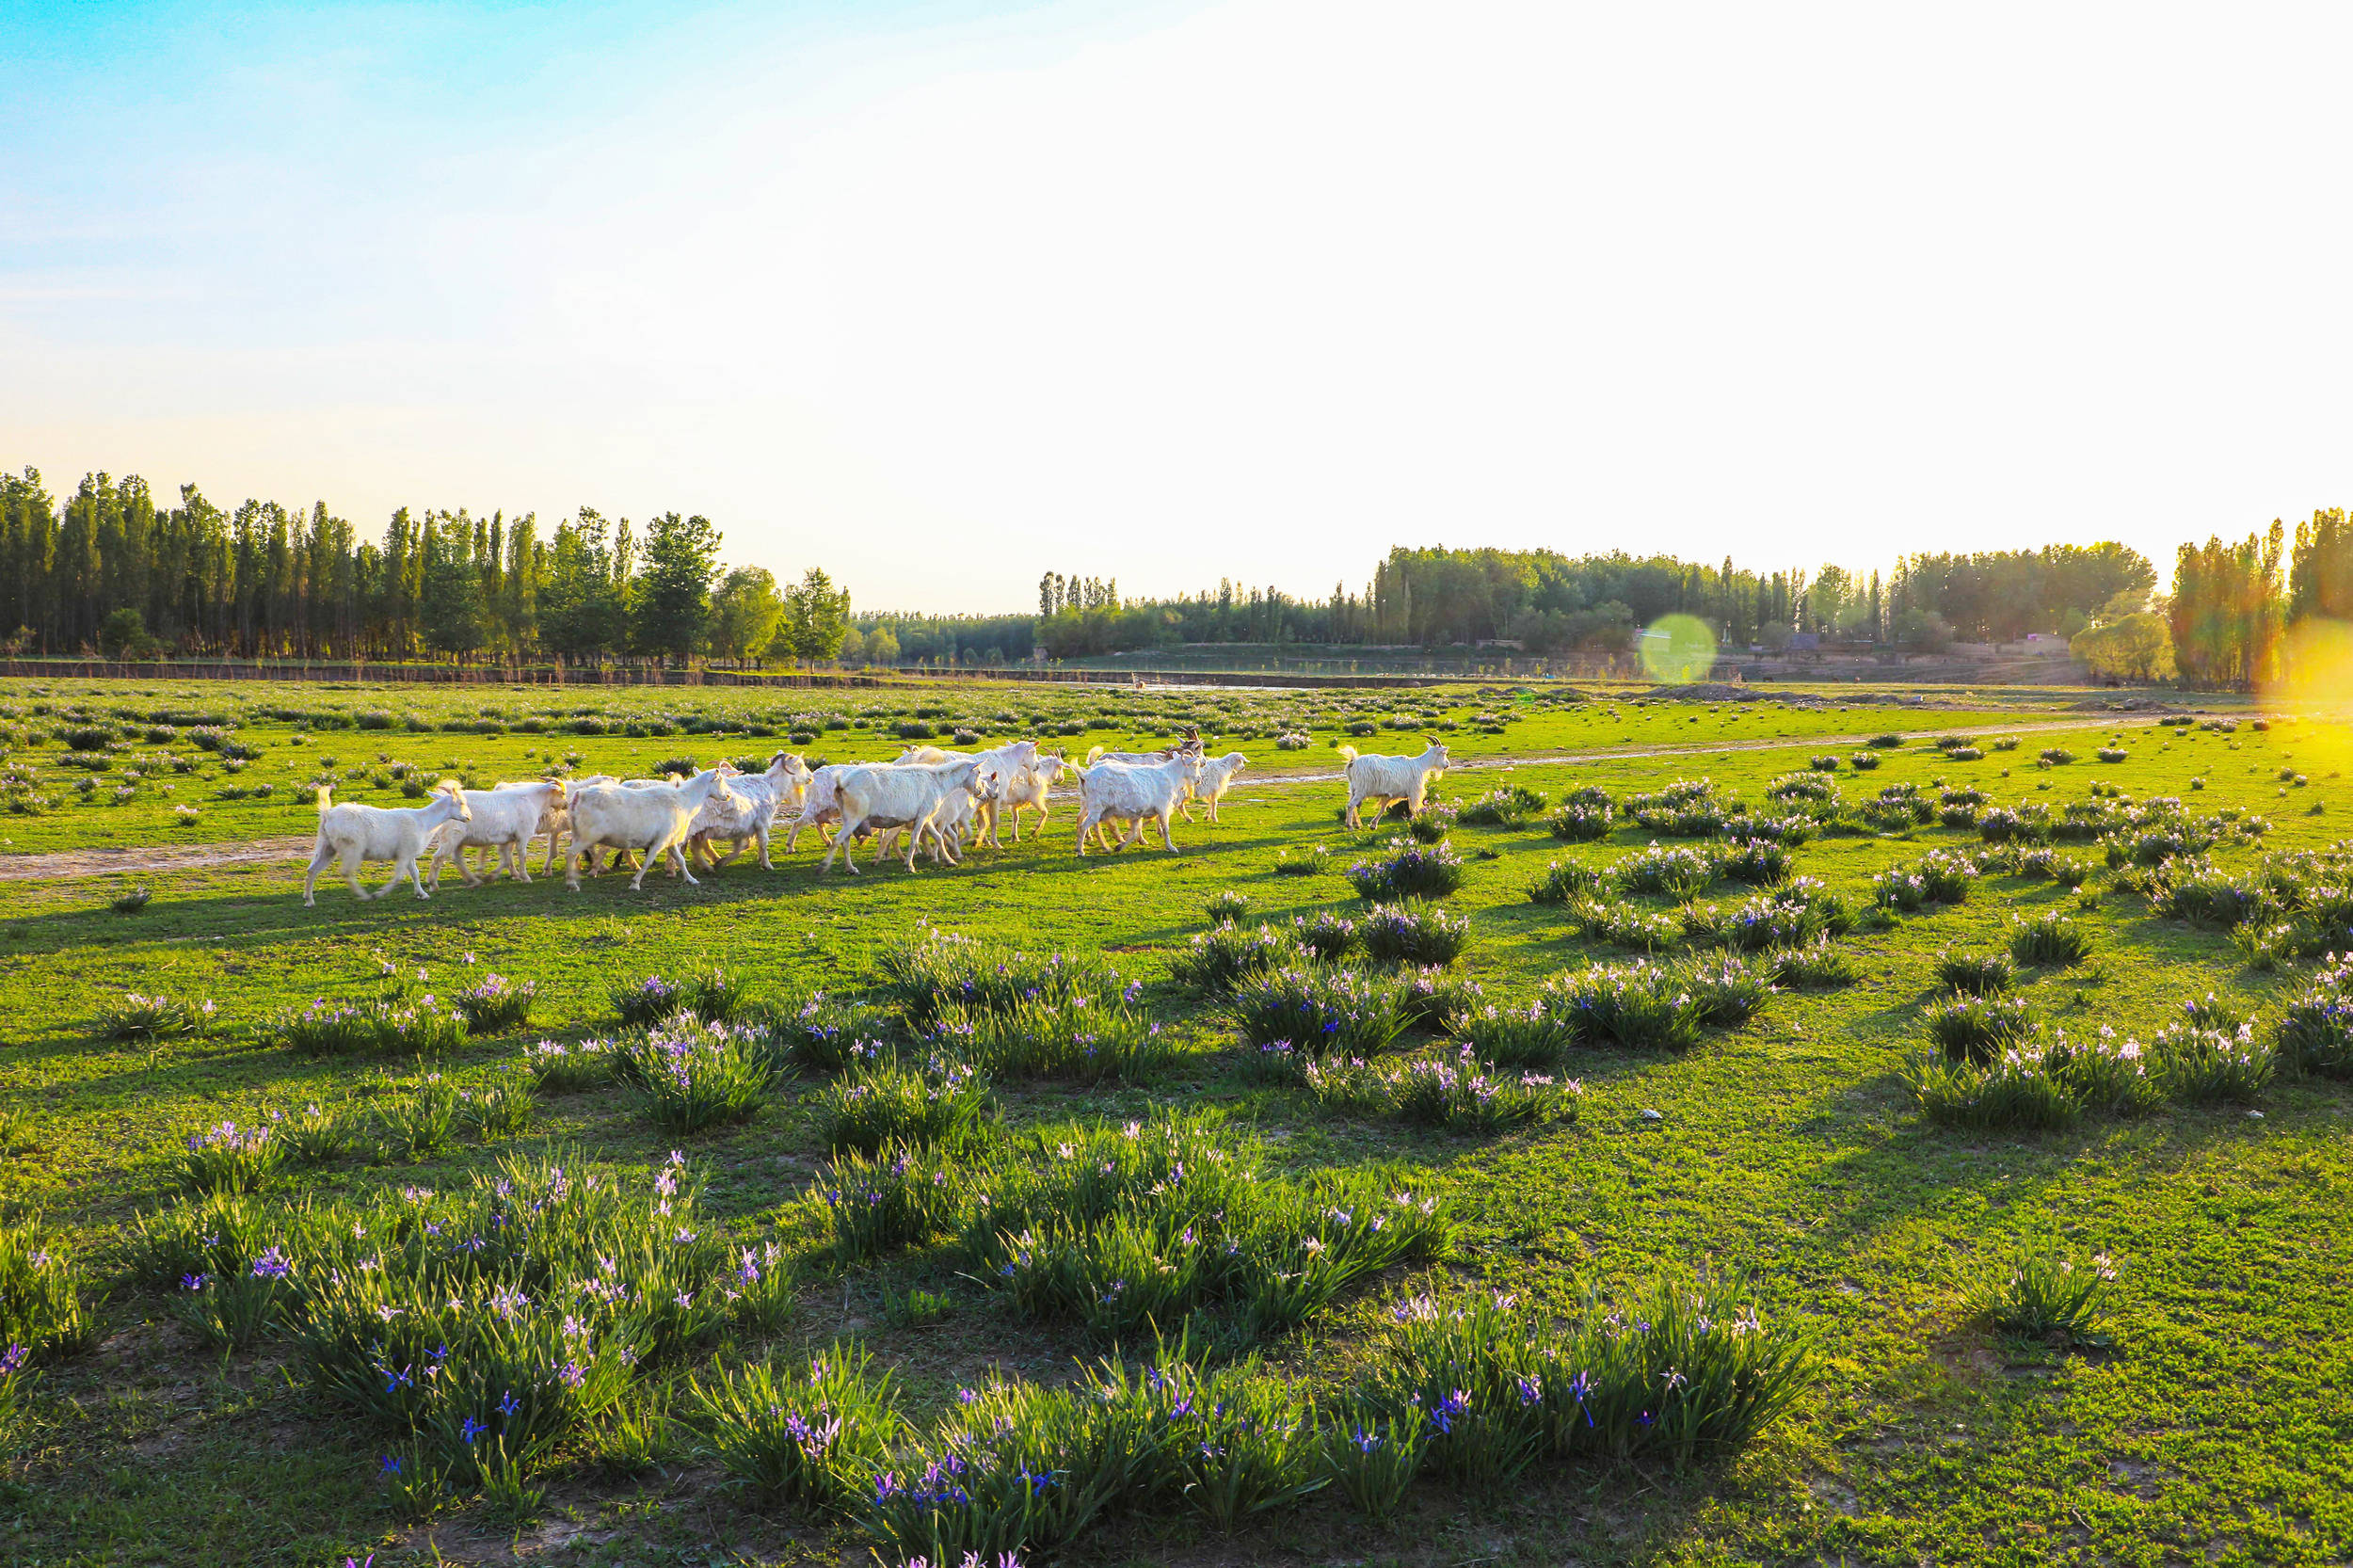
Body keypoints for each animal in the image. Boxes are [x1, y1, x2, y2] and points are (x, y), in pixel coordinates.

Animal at [301, 781, 471, 904]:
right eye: (461, 803)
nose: (469, 817)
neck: (423, 821)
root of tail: (327, 815)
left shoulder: (408, 853)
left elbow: (415, 873)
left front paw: (422, 894)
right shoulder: (404, 853)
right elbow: (399, 877)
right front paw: (379, 893)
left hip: (326, 845)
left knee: (312, 870)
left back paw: (309, 900)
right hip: (352, 847)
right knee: (346, 872)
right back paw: (365, 896)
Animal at [562, 762, 739, 885]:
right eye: (720, 780)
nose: (728, 795)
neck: (685, 800)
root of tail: (578, 795)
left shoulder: (670, 839)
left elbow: (680, 859)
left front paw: (691, 879)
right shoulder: (660, 840)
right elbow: (648, 861)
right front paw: (635, 883)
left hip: (580, 833)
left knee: (577, 852)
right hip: (588, 834)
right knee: (571, 853)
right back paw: (573, 882)